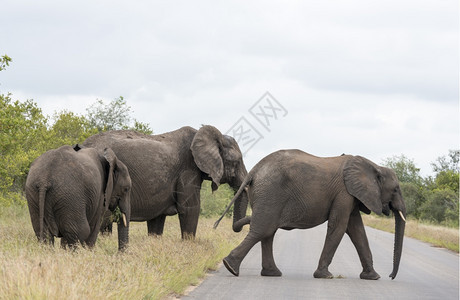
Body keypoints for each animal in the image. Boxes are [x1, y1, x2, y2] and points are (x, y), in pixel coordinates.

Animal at [216, 151, 406, 280]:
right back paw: (231, 267)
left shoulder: (351, 196)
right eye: (396, 190)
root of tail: (254, 170)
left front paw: (373, 277)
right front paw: (325, 276)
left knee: (268, 231)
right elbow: (339, 226)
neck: (374, 166)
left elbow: (357, 230)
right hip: (270, 192)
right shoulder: (344, 193)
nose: (391, 276)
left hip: (264, 194)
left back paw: (271, 273)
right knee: (264, 229)